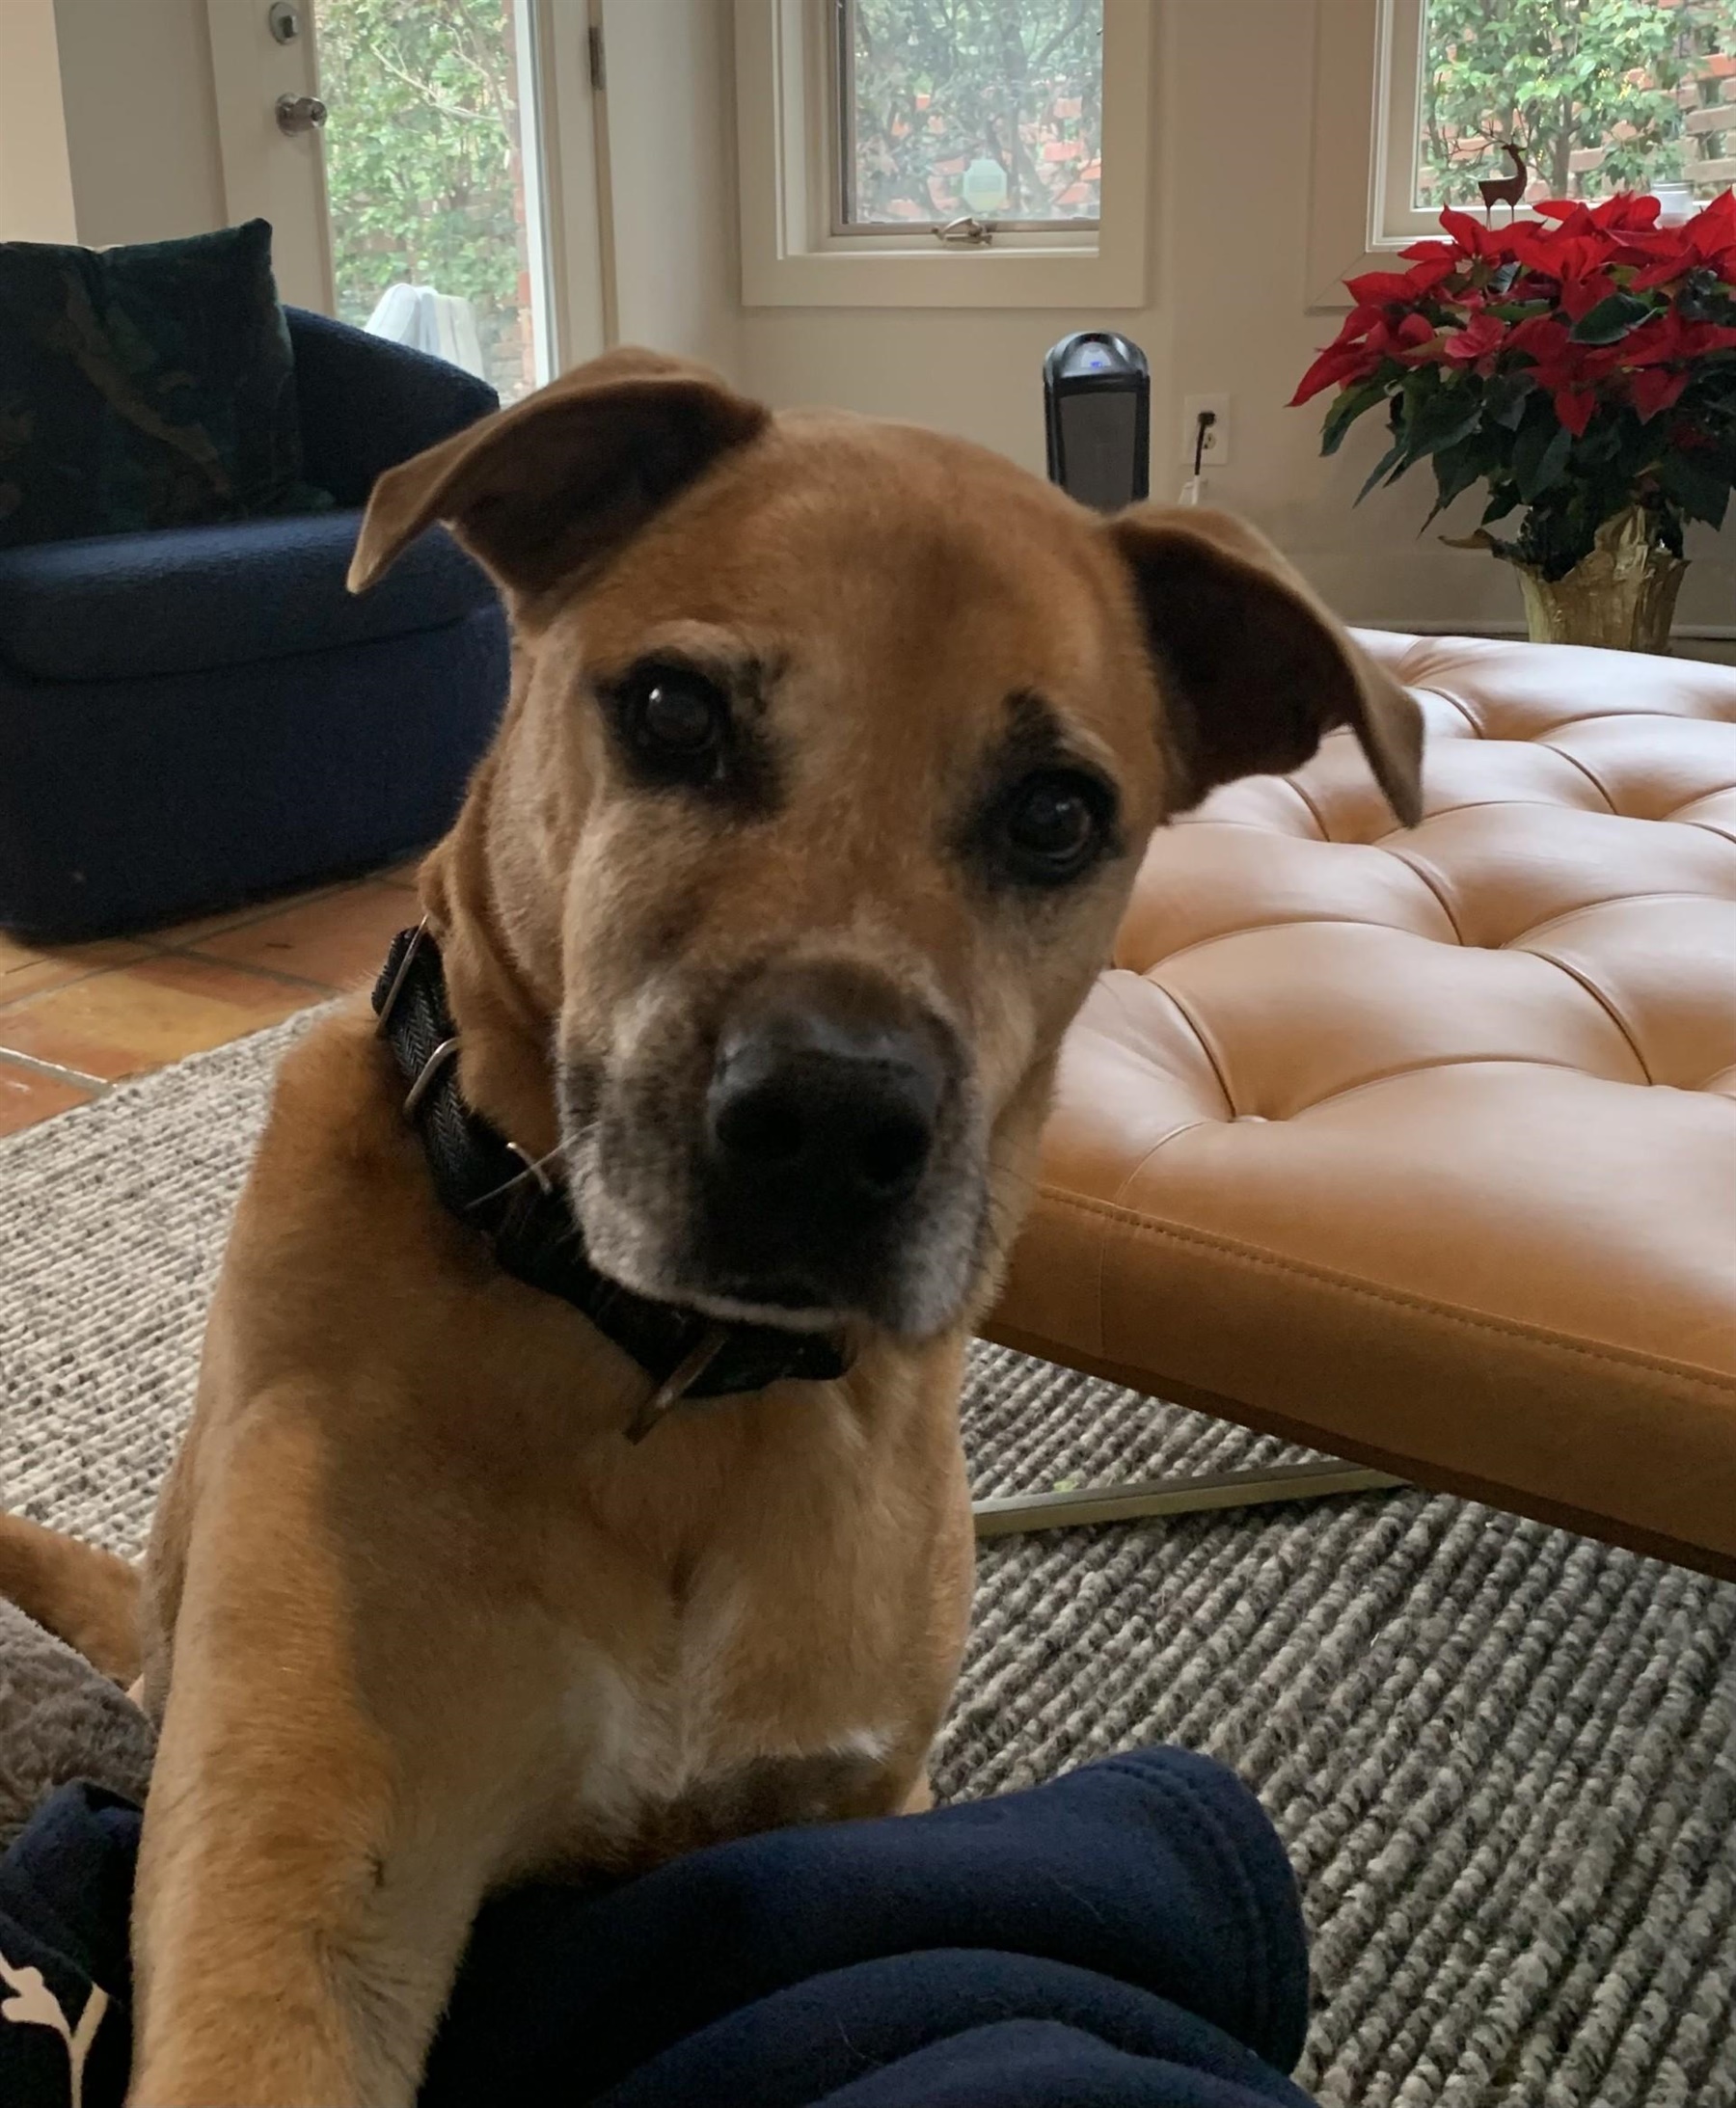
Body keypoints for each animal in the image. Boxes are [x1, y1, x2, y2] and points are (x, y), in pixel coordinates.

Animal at [1, 347, 1422, 2104]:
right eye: (674, 711)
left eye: (1057, 814)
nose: (830, 1125)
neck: (663, 1386)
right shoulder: (306, 1851)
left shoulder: (852, 1803)